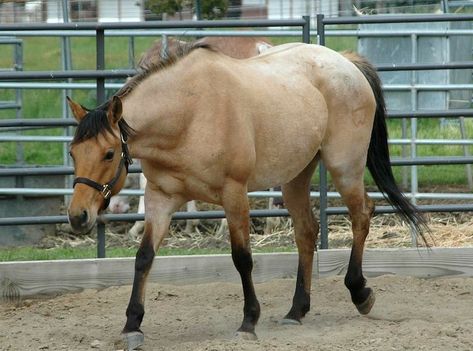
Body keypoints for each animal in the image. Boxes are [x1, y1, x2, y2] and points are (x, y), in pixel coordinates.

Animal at [65, 42, 424, 350]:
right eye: (72, 152)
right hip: (295, 176)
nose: (78, 216)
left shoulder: (234, 193)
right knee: (306, 233)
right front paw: (132, 326)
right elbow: (143, 258)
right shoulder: (160, 198)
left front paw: (249, 322)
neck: (188, 114)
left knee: (361, 215)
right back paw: (296, 311)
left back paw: (360, 293)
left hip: (344, 167)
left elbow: (242, 258)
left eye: (109, 154)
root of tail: (346, 61)